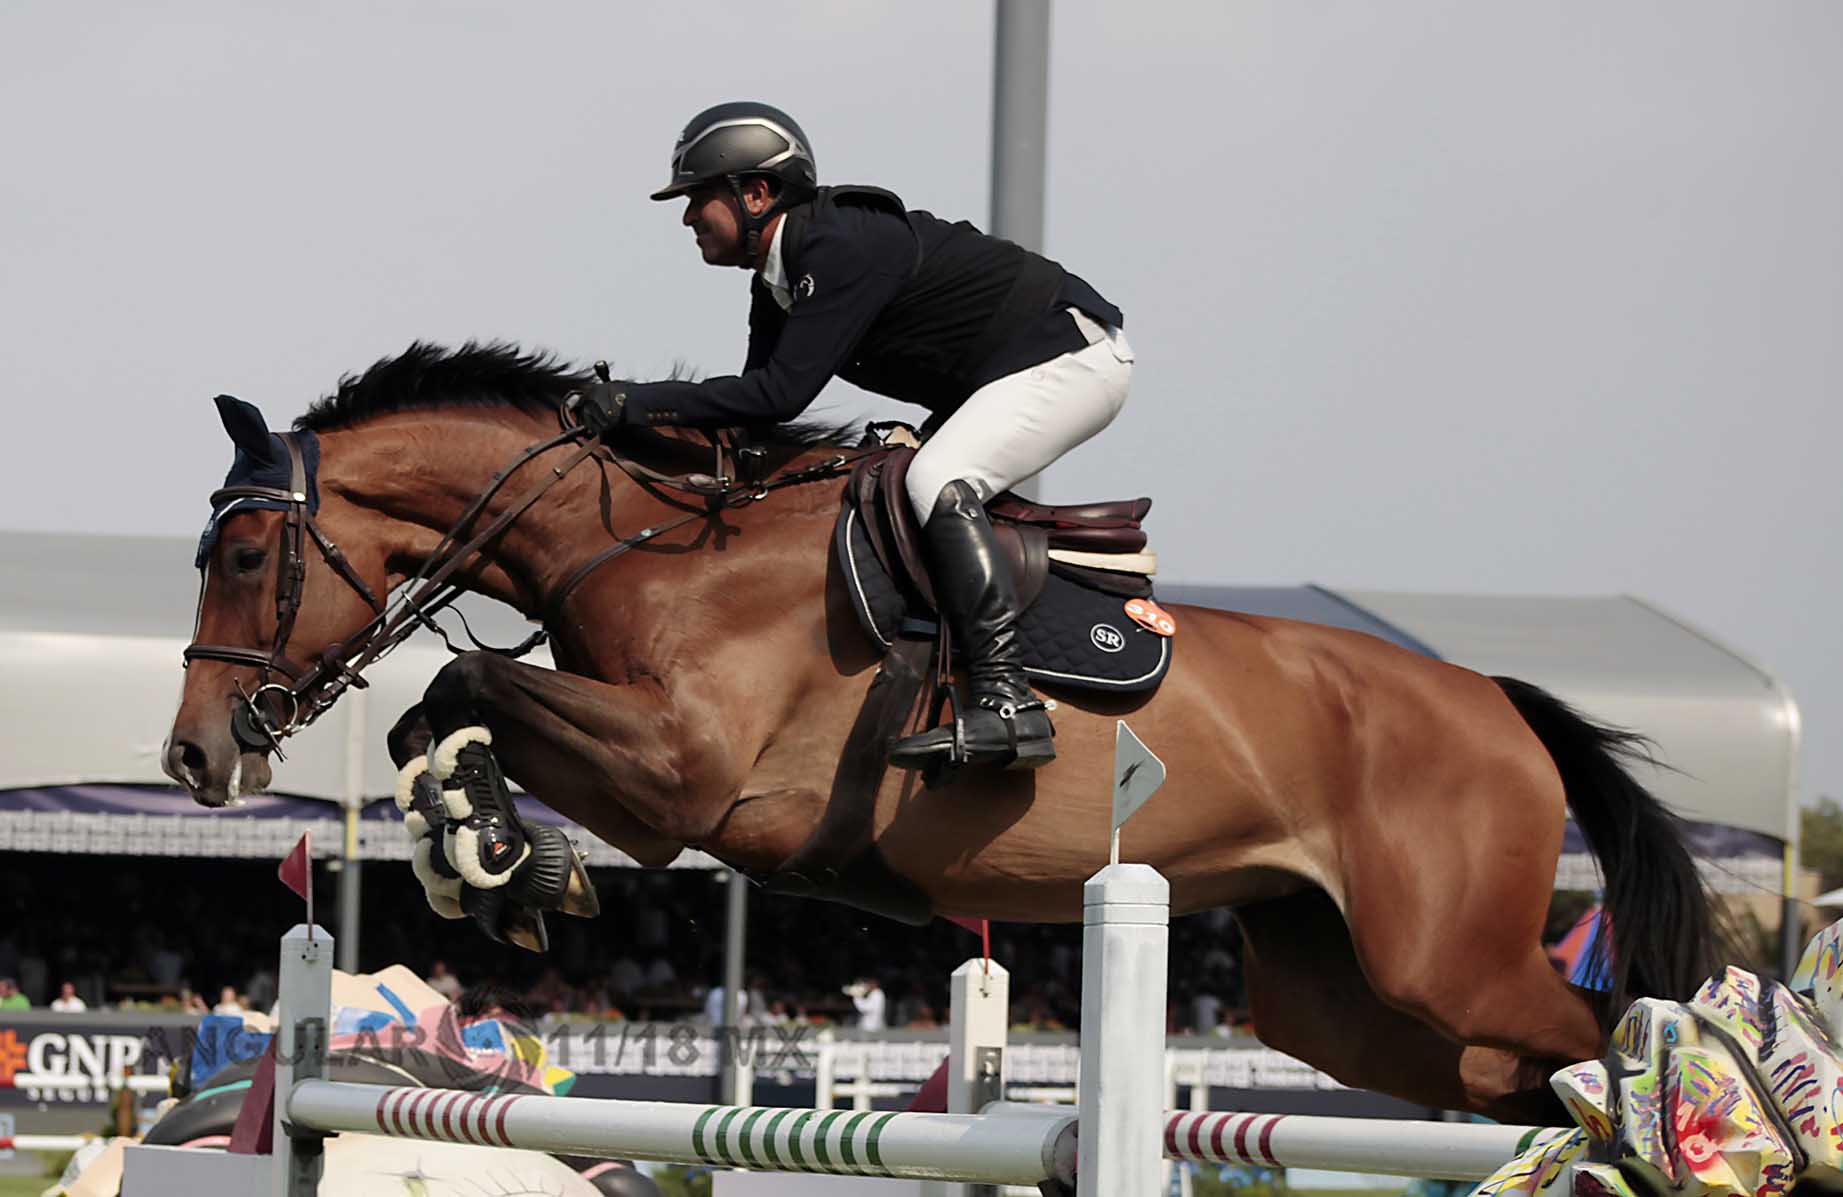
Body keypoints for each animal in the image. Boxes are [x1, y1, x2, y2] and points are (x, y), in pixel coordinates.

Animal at [164, 341, 1716, 1122]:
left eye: (240, 555)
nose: (193, 757)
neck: (654, 545)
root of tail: (1493, 700)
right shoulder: (648, 783)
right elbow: (449, 708)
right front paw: (486, 853)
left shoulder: (682, 784)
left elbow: (483, 691)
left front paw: (497, 855)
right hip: (1335, 997)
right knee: (1508, 1077)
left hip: (1439, 956)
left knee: (1609, 1027)